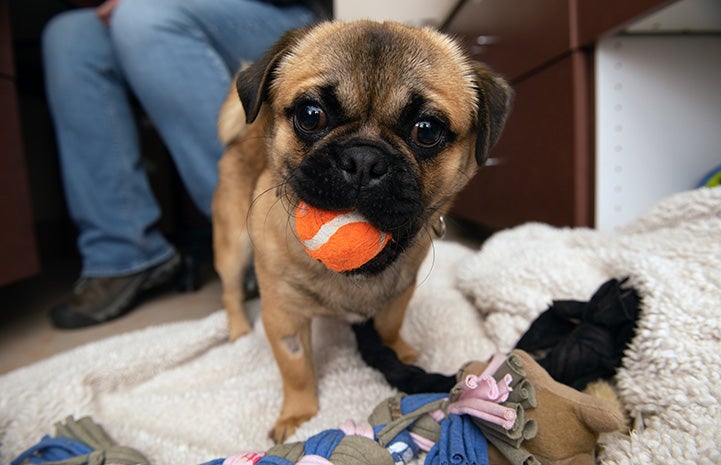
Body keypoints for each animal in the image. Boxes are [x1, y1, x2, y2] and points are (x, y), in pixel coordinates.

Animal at [212, 20, 512, 442]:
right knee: (231, 291)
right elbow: (296, 368)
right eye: (310, 115)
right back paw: (238, 330)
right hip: (233, 246)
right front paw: (299, 416)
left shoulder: (400, 291)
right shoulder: (284, 316)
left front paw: (399, 350)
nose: (364, 159)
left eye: (427, 130)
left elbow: (388, 326)